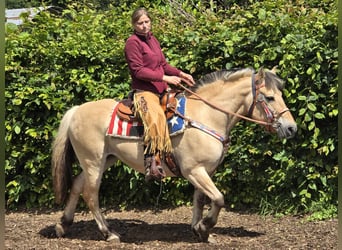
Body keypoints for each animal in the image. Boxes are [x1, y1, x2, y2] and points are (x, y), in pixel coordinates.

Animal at [50, 66, 296, 242]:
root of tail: (76, 110)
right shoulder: (193, 170)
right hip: (93, 162)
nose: (291, 128)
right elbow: (218, 198)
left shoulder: (204, 171)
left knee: (77, 185)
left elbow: (200, 199)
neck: (206, 115)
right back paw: (108, 233)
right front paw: (205, 226)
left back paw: (63, 225)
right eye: (270, 97)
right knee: (91, 194)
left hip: (103, 160)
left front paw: (199, 230)